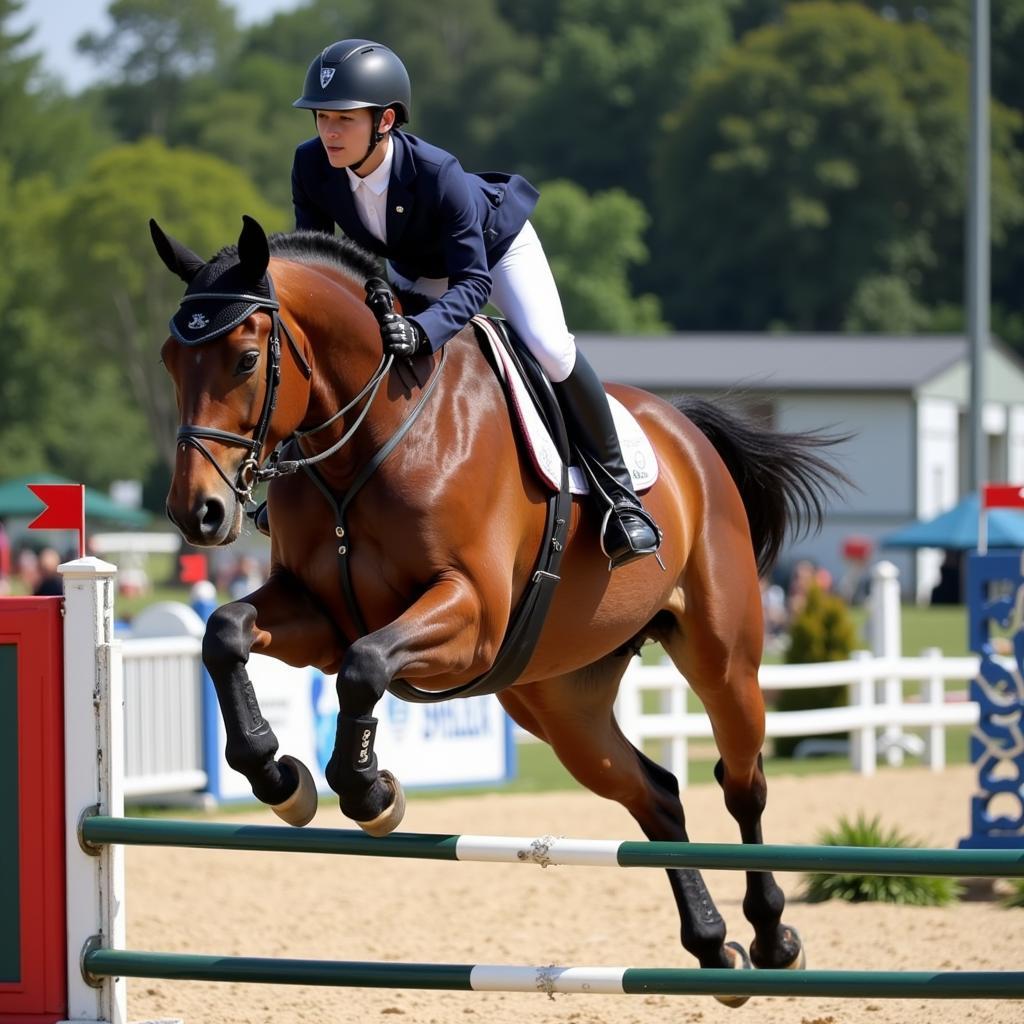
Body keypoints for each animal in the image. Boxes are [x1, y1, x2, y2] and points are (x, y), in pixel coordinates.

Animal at [153, 209, 847, 999]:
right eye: (172, 361)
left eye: (244, 360)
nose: (197, 513)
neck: (366, 436)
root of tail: (687, 432)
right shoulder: (318, 613)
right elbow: (225, 632)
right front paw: (278, 777)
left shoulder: (471, 615)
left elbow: (364, 668)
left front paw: (370, 792)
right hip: (558, 699)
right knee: (656, 793)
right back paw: (711, 946)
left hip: (720, 655)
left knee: (741, 783)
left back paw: (772, 938)